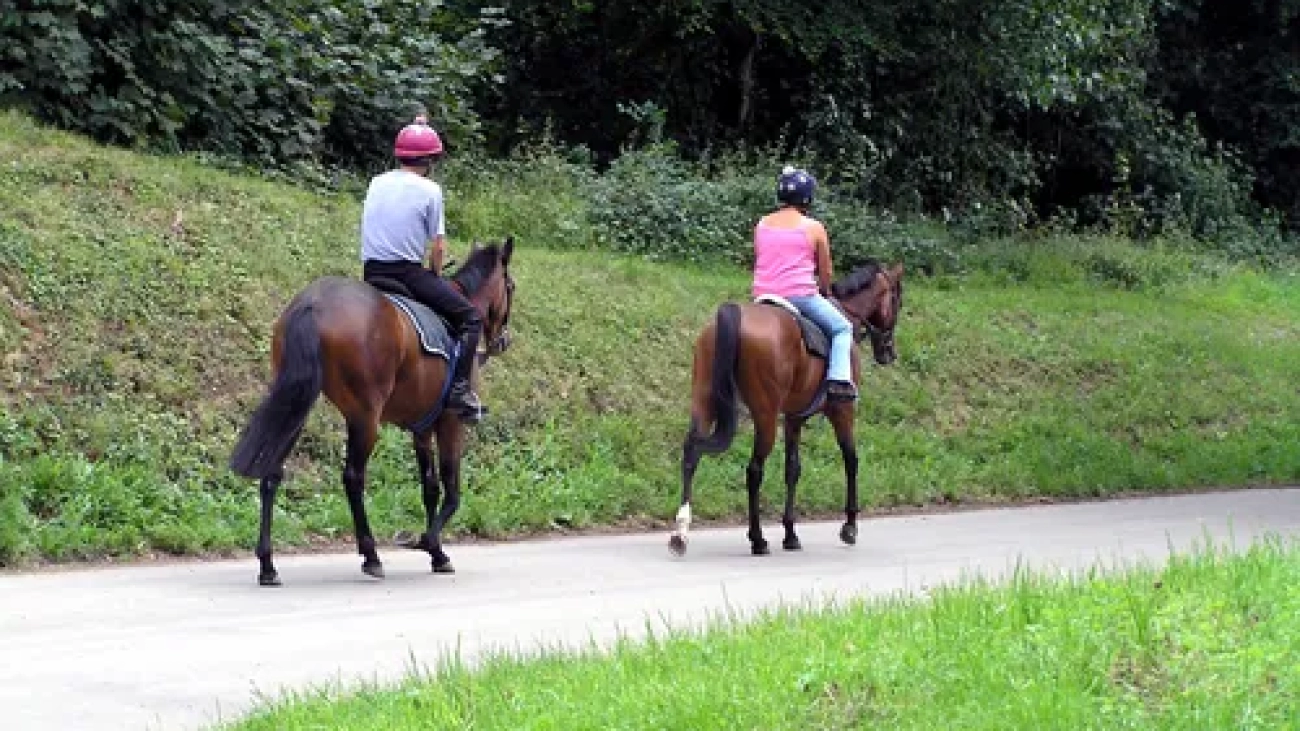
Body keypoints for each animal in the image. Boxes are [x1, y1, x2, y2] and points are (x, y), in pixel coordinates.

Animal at [228, 236, 512, 582]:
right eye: (510, 286)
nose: (502, 341)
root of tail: (313, 303)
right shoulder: (450, 423)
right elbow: (452, 490)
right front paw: (428, 542)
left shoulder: (421, 428)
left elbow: (429, 487)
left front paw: (435, 553)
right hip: (365, 417)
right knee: (353, 478)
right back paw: (371, 554)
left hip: (295, 403)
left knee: (272, 471)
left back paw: (268, 565)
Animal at [670, 260, 904, 551]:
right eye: (897, 301)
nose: (889, 352)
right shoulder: (843, 411)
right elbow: (851, 460)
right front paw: (849, 526)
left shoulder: (794, 418)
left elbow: (792, 469)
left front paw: (791, 532)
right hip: (766, 414)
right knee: (754, 470)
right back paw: (757, 538)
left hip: (704, 402)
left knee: (692, 454)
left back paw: (681, 532)